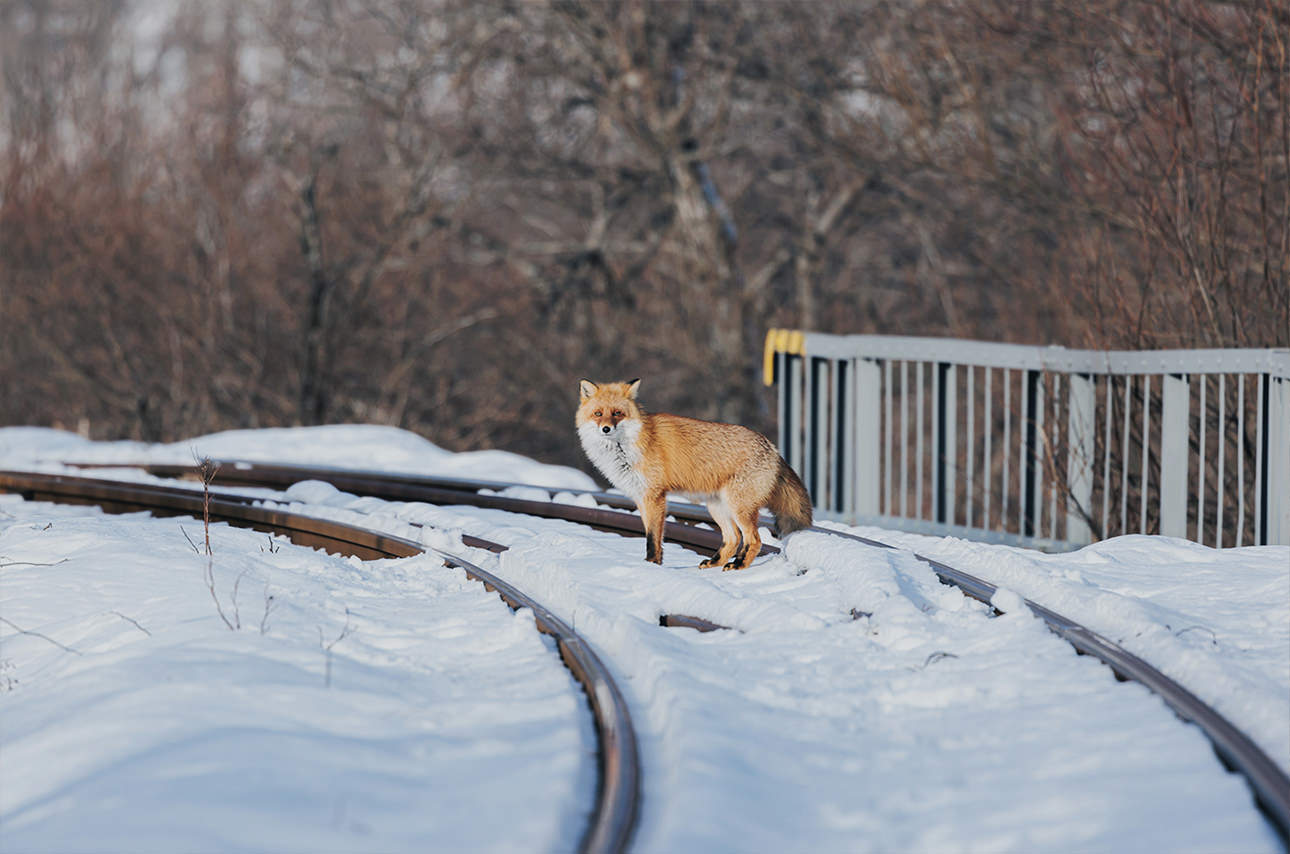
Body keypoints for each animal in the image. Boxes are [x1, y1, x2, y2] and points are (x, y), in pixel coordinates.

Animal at [577, 379, 810, 567]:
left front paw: (651, 564)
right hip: (717, 506)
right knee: (733, 538)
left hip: (738, 507)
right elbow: (650, 535)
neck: (629, 447)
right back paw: (715, 563)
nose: (606, 429)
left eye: (618, 413)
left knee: (754, 540)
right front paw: (653, 563)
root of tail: (771, 447)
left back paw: (738, 566)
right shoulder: (640, 497)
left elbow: (653, 538)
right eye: (598, 414)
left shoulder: (655, 496)